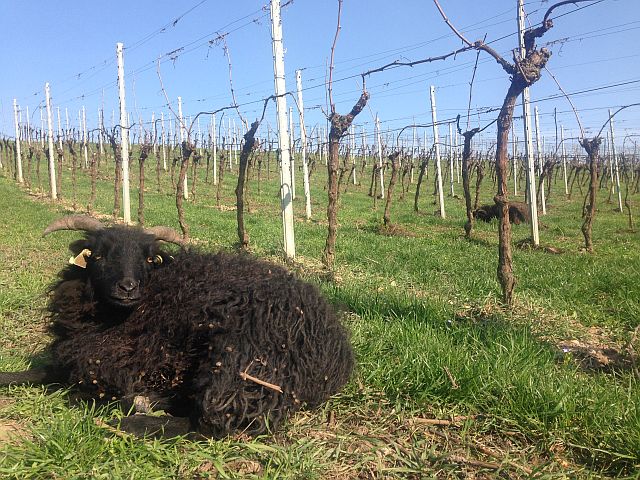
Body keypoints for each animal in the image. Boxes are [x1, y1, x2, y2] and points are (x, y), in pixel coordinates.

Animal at [0, 217, 352, 438]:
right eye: (99, 254)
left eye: (147, 258)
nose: (127, 287)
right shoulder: (74, 354)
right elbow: (40, 371)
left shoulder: (125, 365)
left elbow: (90, 387)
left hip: (238, 360)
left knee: (213, 423)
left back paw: (126, 423)